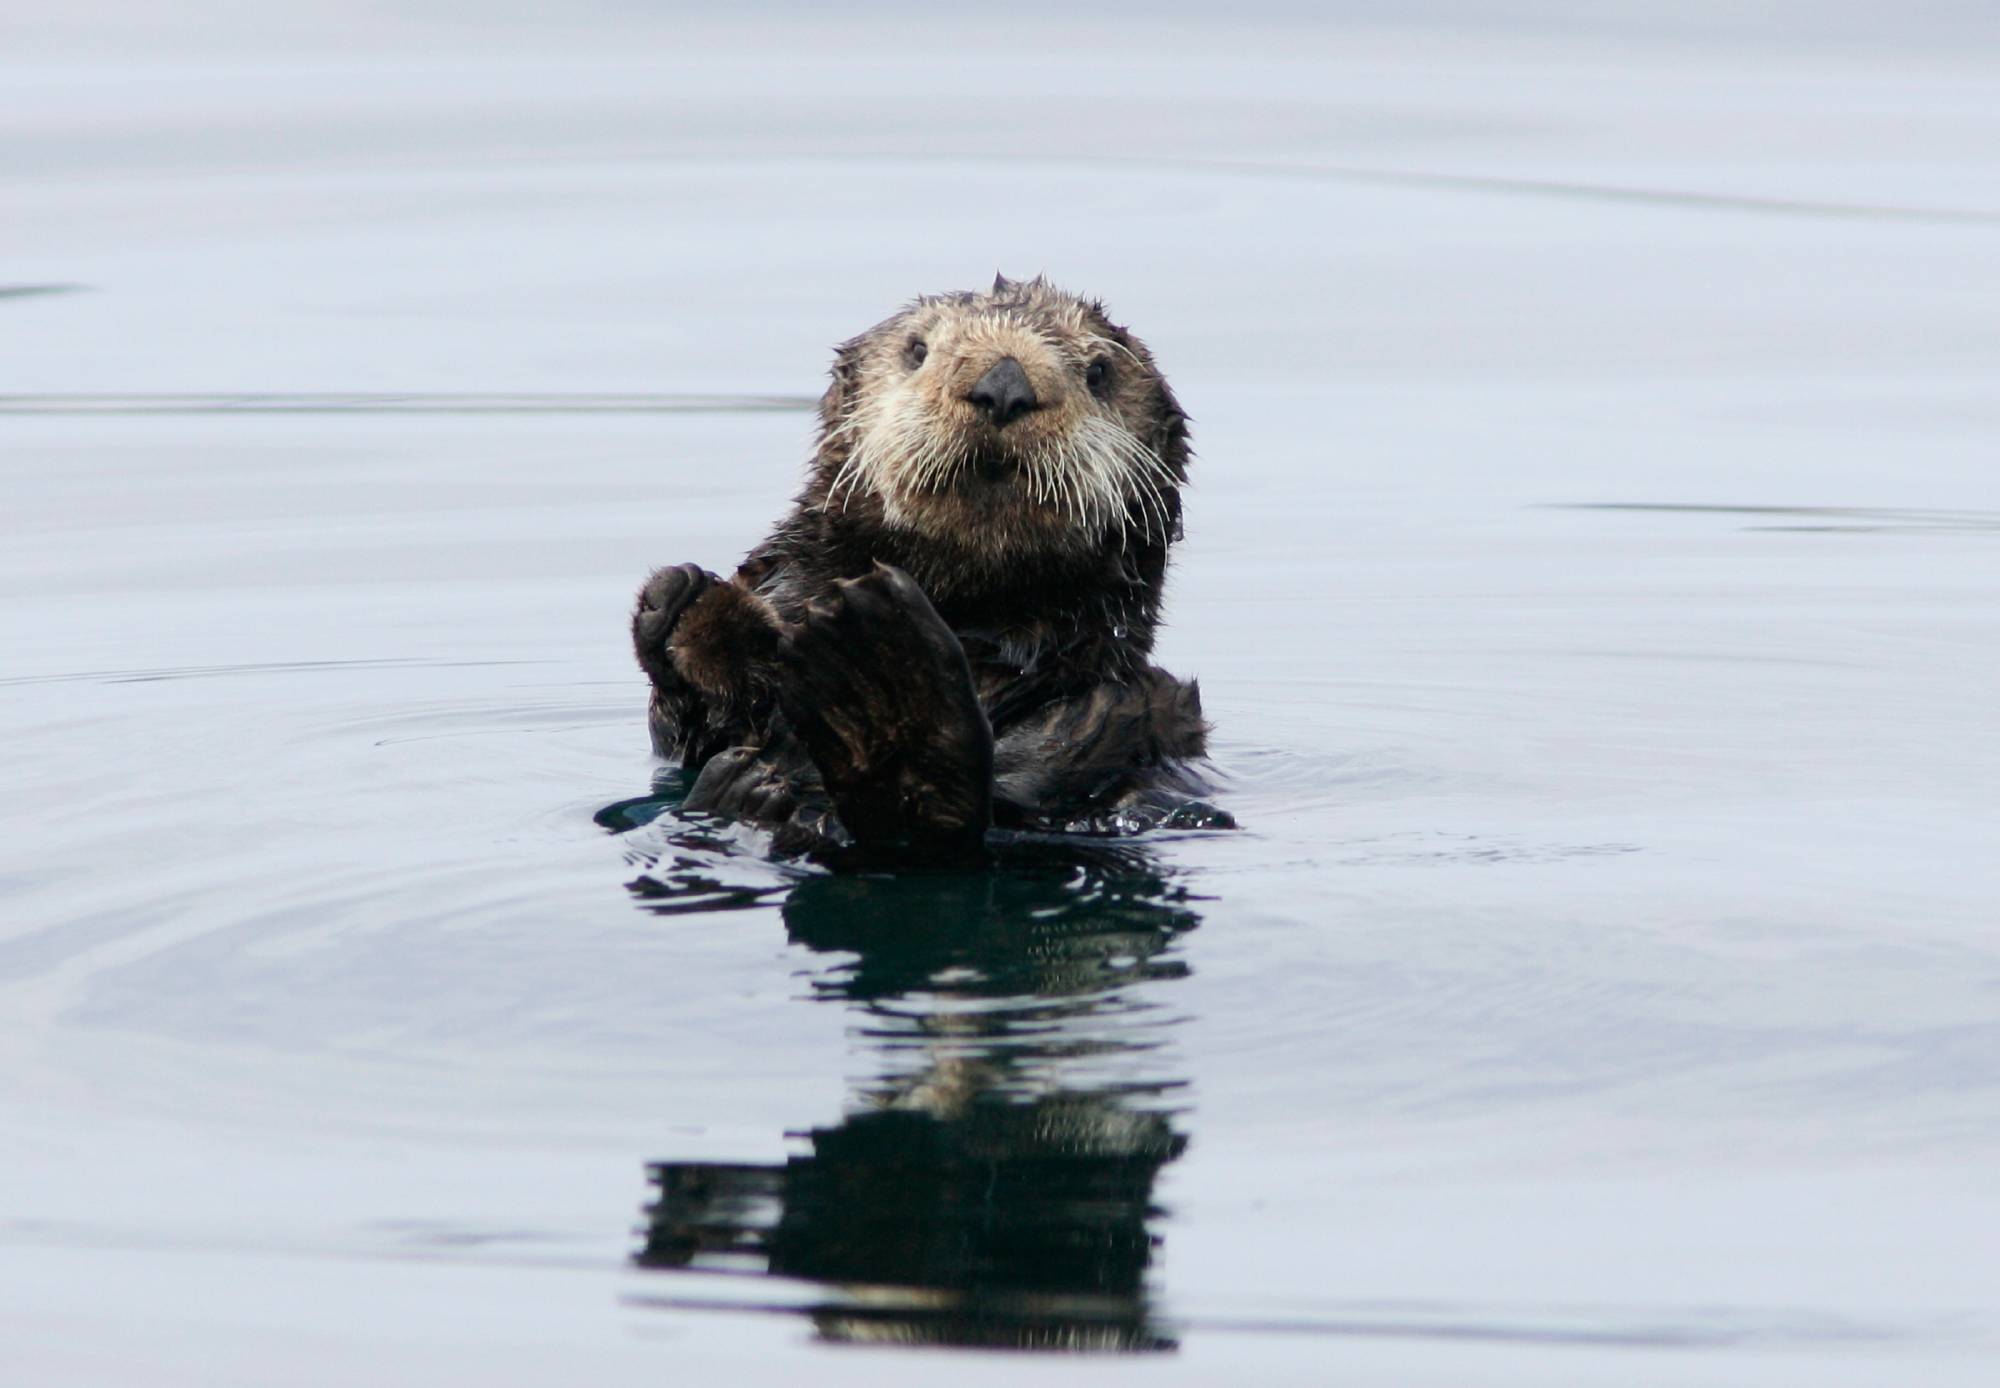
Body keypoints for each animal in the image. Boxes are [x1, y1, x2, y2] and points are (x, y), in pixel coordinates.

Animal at [631, 275, 1225, 867]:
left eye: (1099, 371)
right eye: (917, 350)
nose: (1003, 385)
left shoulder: (1122, 711)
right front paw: (678, 607)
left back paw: (879, 671)